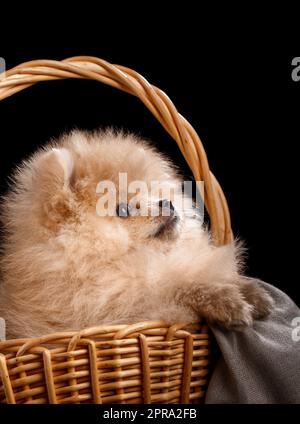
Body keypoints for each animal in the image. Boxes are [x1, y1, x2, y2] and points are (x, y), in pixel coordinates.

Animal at [0, 129, 274, 338]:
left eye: (154, 192)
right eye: (123, 208)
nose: (167, 203)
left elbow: (197, 273)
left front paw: (251, 292)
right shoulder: (119, 308)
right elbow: (179, 288)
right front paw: (228, 302)